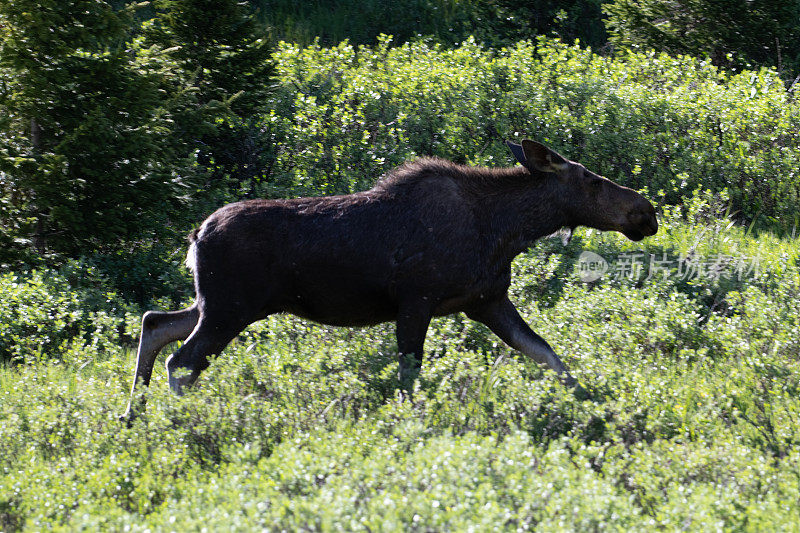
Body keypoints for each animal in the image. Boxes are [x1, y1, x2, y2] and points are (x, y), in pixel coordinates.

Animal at [119, 139, 656, 422]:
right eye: (591, 179)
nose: (646, 211)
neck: (506, 230)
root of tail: (195, 235)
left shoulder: (485, 300)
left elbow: (546, 352)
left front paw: (590, 402)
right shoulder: (417, 300)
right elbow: (409, 374)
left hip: (214, 302)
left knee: (155, 323)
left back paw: (133, 415)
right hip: (230, 308)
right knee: (182, 361)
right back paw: (179, 423)